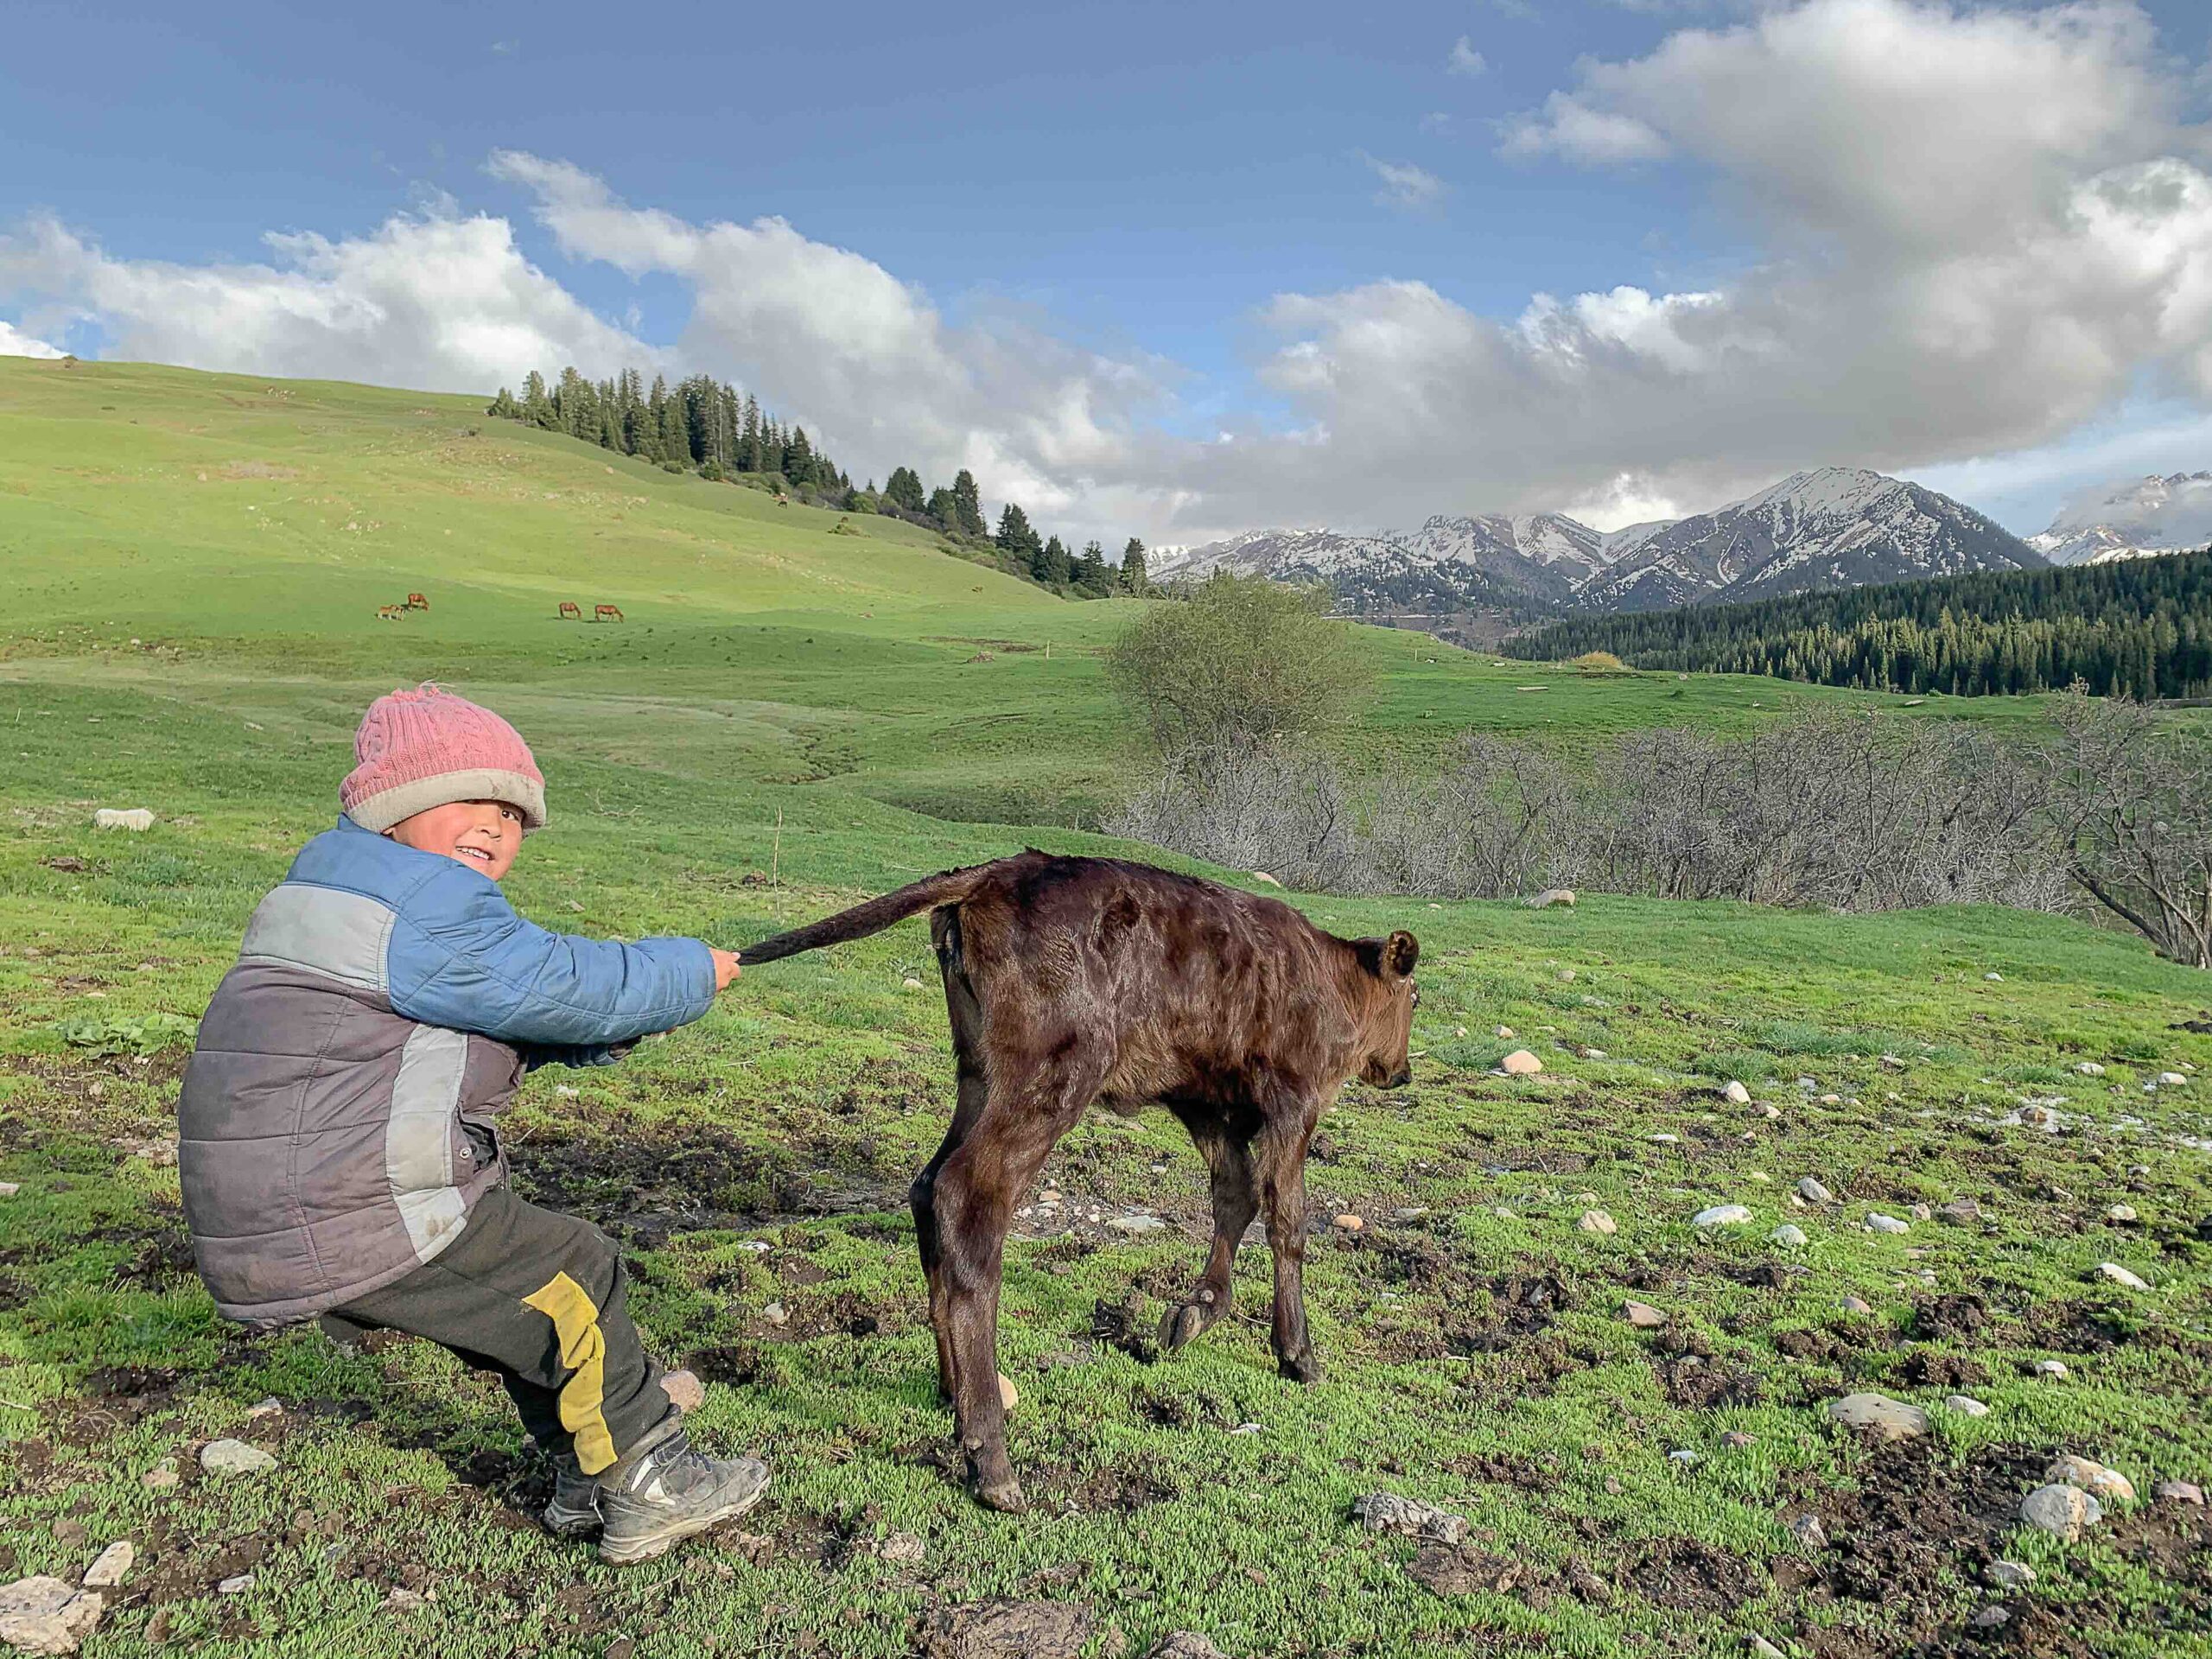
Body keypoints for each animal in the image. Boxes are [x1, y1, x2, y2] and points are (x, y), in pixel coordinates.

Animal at [738, 851, 1418, 1513]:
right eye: (1414, 997)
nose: (1402, 1073)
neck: (1334, 976)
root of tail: (994, 874)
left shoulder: (1201, 1100)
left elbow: (1236, 1194)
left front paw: (1195, 1313)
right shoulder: (1292, 1103)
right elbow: (1288, 1220)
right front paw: (1298, 1354)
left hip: (980, 1074)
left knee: (927, 1186)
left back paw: (954, 1395)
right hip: (1055, 1076)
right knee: (967, 1197)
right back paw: (992, 1462)